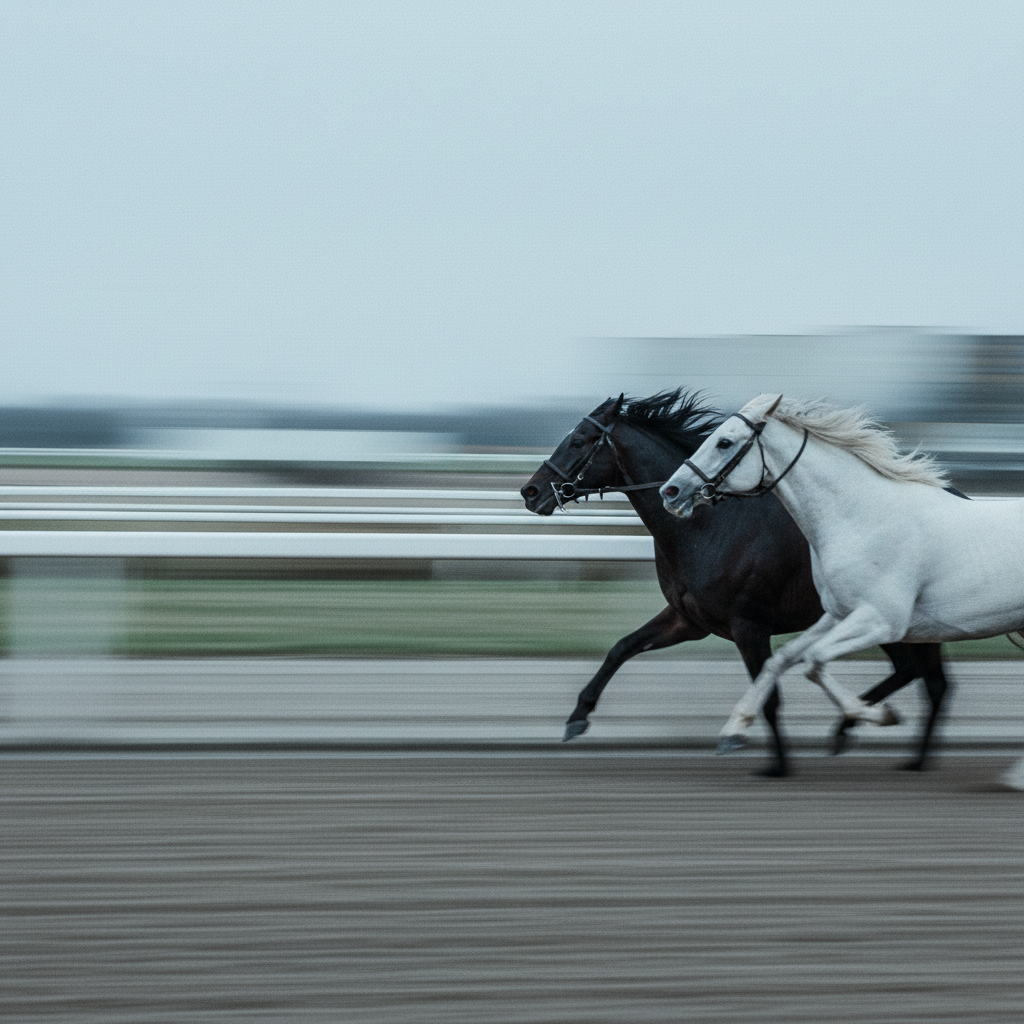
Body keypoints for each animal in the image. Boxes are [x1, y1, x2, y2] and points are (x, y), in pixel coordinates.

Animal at [521, 390, 952, 775]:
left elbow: (769, 697)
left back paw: (871, 734)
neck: (706, 526)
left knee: (927, 680)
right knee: (925, 678)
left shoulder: (749, 625)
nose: (530, 490)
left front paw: (774, 762)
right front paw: (577, 716)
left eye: (578, 440)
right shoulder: (689, 620)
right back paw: (882, 742)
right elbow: (621, 648)